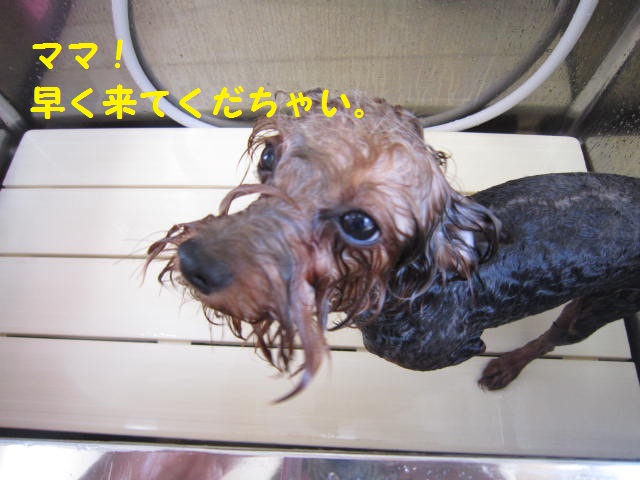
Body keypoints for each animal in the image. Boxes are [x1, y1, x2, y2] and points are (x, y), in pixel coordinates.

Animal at [147, 92, 640, 399]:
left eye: (360, 224)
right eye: (269, 156)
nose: (195, 263)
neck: (409, 291)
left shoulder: (452, 349)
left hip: (603, 303)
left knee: (556, 336)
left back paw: (507, 366)